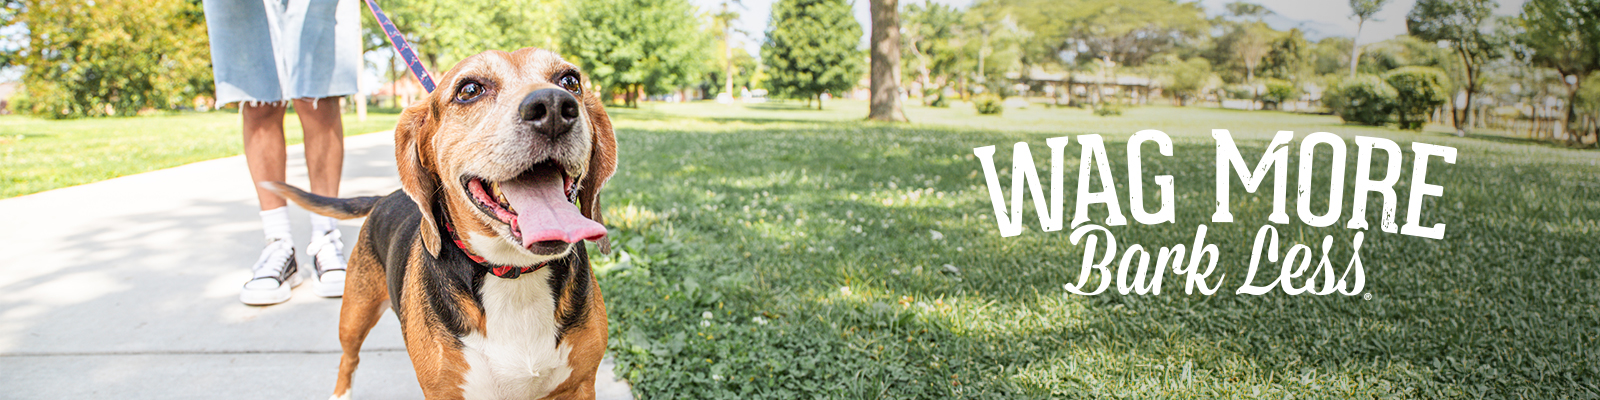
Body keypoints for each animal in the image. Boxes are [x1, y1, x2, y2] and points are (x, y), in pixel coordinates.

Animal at [265, 47, 614, 400]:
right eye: (469, 90)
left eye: (570, 81)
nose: (554, 107)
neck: (513, 272)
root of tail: (384, 196)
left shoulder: (580, 385)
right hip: (353, 316)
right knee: (348, 360)